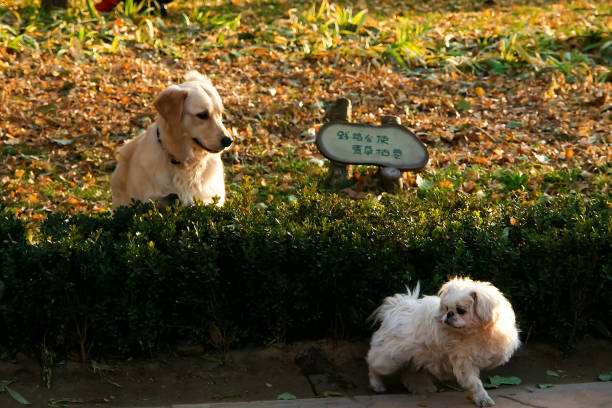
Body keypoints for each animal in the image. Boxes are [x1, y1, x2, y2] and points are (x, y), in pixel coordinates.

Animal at [368, 276, 520, 406]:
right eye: (447, 308)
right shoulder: (464, 363)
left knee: (407, 372)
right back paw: (377, 385)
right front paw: (482, 399)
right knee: (372, 363)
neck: (473, 333)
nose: (449, 314)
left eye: (460, 310)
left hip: (412, 356)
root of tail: (395, 309)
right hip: (390, 359)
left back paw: (421, 387)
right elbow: (474, 383)